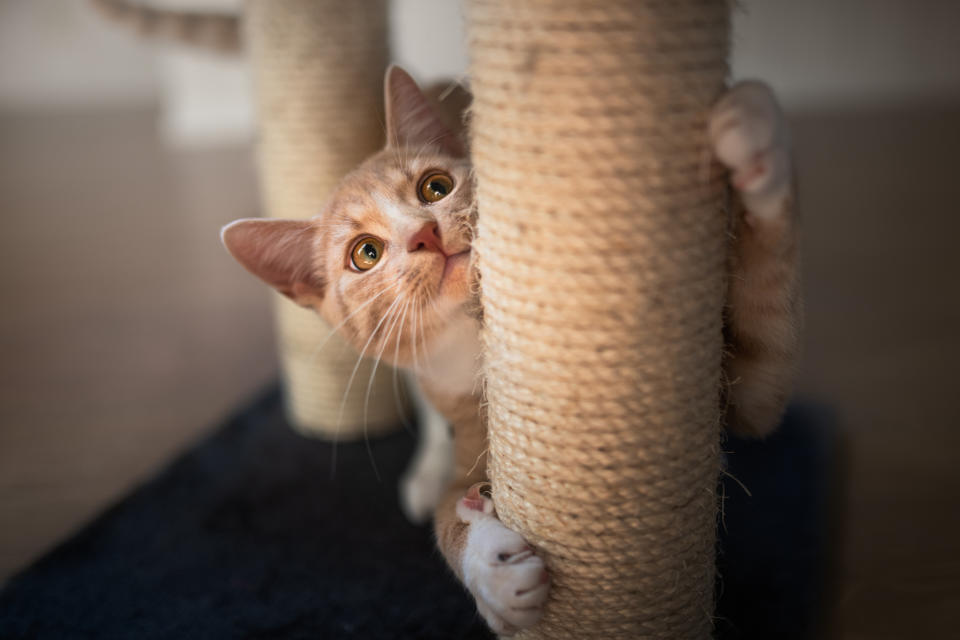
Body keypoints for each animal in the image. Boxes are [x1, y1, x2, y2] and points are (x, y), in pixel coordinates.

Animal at [221, 66, 800, 636]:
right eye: (365, 254)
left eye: (435, 187)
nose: (424, 234)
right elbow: (448, 509)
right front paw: (491, 566)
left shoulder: (744, 387)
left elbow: (765, 317)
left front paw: (751, 135)